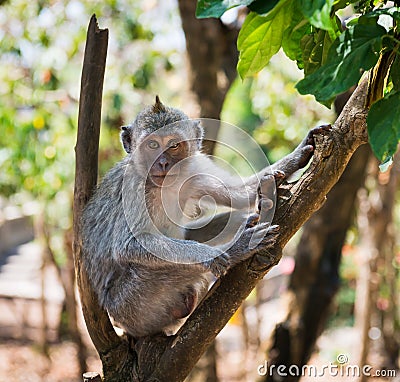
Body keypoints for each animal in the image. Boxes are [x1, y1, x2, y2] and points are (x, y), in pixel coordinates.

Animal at [81, 97, 328, 338]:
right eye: (152, 145)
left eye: (174, 145)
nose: (162, 163)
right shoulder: (132, 186)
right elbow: (128, 246)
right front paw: (221, 252)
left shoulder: (194, 169)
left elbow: (239, 194)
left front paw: (296, 157)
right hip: (132, 306)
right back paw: (237, 249)